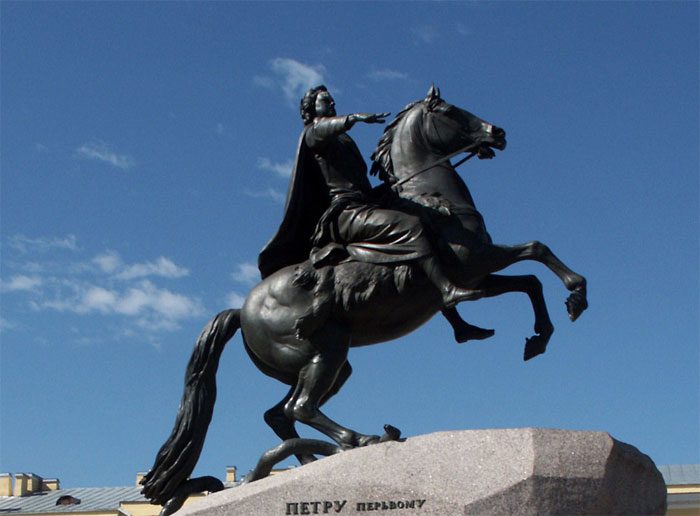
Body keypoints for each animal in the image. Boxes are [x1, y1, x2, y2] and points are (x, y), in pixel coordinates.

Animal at [141, 85, 584, 512]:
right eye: (450, 111)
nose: (498, 132)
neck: (432, 199)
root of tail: (241, 309)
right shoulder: (474, 263)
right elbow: (535, 251)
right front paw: (576, 294)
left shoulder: (482, 273)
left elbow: (529, 281)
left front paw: (538, 336)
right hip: (326, 352)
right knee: (299, 408)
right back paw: (360, 439)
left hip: (327, 363)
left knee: (281, 414)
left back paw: (310, 461)